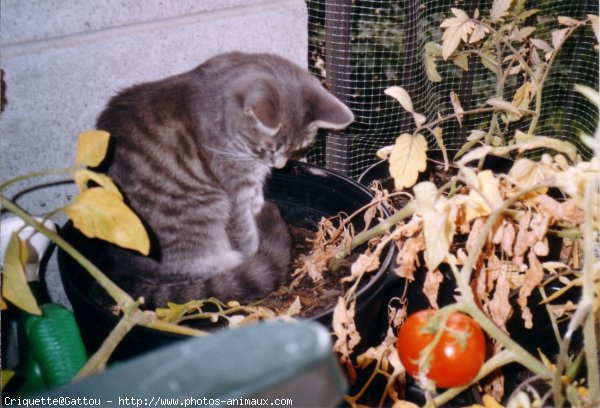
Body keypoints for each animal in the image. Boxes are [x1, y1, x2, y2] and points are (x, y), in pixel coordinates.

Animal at [96, 51, 354, 306]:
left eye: (298, 148)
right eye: (267, 148)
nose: (279, 165)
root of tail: (125, 273)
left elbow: (256, 204)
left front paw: (260, 213)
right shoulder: (235, 187)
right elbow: (244, 231)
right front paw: (255, 249)